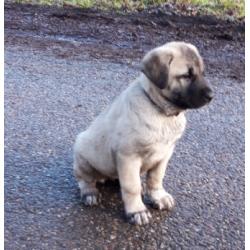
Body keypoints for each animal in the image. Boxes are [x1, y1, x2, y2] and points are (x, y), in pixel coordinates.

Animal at [73, 41, 213, 225]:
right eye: (186, 76)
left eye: (202, 73)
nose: (211, 95)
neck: (161, 111)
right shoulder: (128, 155)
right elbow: (132, 186)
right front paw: (137, 210)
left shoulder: (165, 154)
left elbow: (156, 178)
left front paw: (158, 197)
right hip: (82, 153)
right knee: (84, 179)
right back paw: (90, 192)